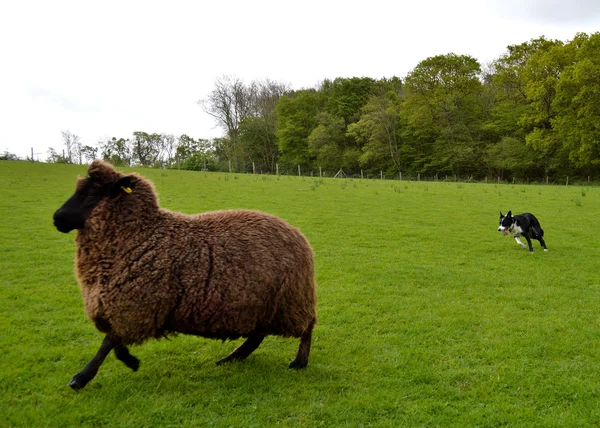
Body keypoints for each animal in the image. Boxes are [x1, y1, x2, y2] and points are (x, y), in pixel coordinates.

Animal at [54, 159, 318, 390]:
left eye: (91, 195)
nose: (57, 218)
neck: (141, 234)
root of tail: (298, 235)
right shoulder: (130, 308)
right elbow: (112, 342)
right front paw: (117, 365)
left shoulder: (136, 306)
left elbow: (110, 343)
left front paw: (86, 376)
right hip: (262, 304)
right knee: (257, 336)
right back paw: (232, 358)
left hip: (291, 299)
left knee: (307, 327)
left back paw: (298, 362)